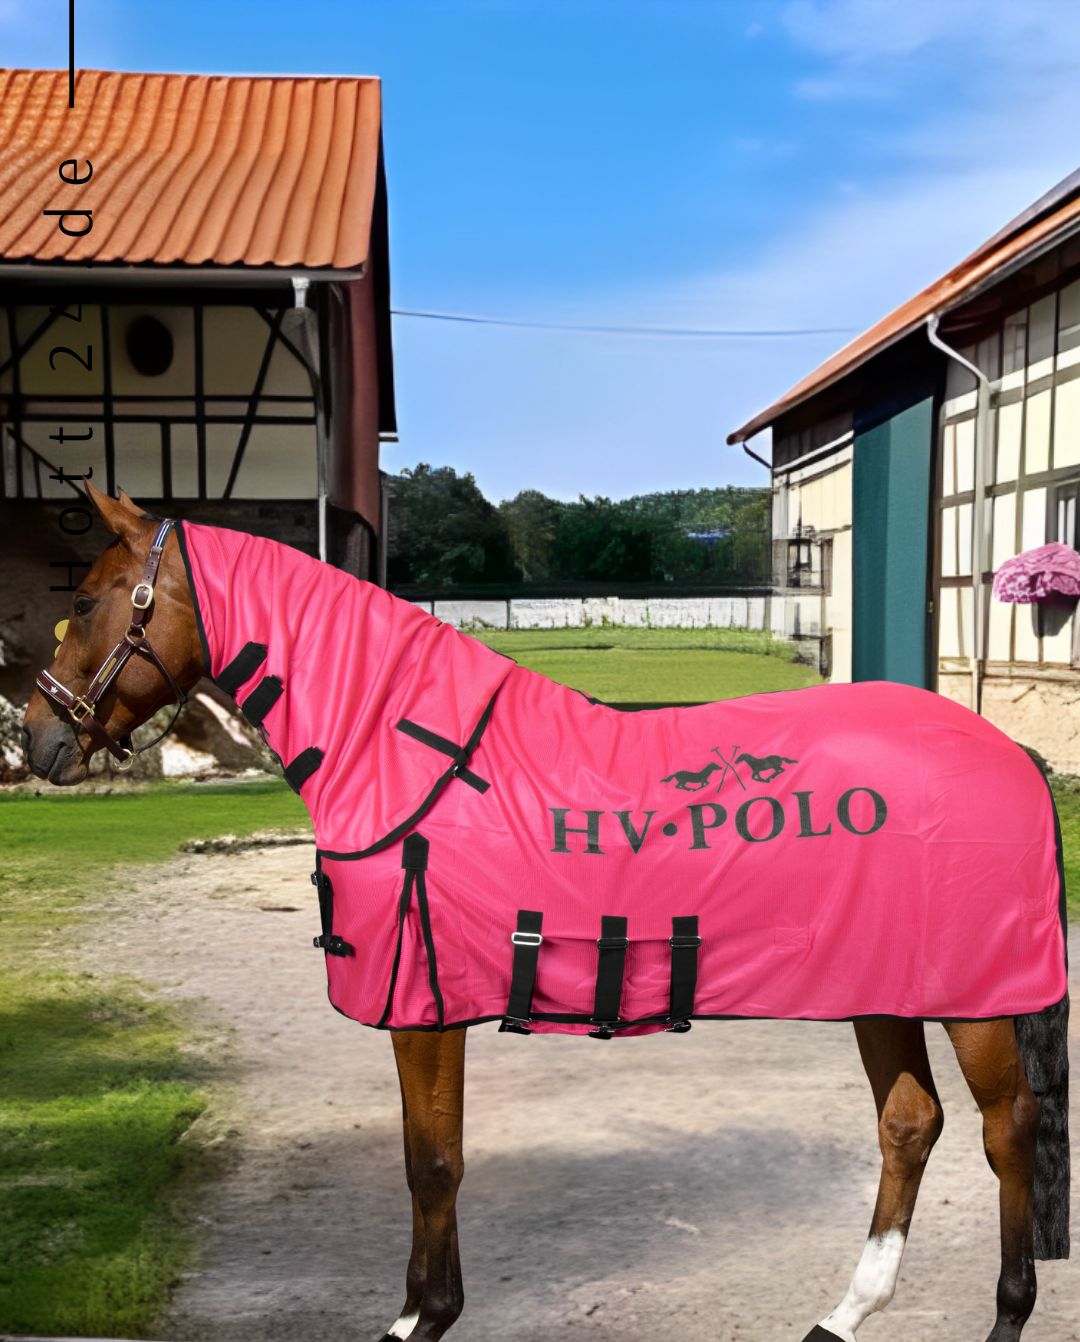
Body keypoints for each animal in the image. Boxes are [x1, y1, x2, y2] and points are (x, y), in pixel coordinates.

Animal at [23, 485, 1071, 1342]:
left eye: (90, 599)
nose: (35, 739)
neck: (409, 751)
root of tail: (1008, 750)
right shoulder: (429, 1008)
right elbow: (432, 1156)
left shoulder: (425, 1012)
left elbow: (431, 1163)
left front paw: (420, 1319)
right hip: (881, 986)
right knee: (910, 1124)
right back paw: (845, 1314)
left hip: (975, 1001)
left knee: (1007, 1128)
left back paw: (1006, 1314)